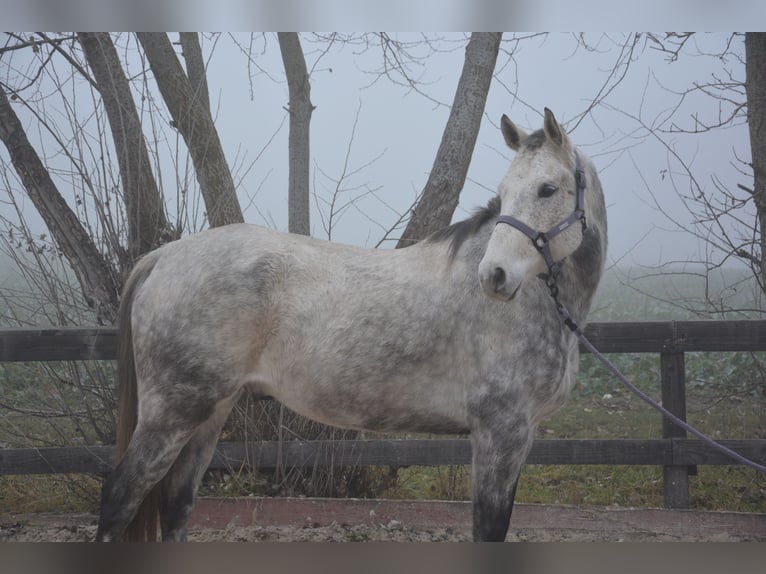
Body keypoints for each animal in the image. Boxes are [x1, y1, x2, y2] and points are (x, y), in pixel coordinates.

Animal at [95, 108, 607, 542]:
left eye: (547, 189)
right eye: (506, 190)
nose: (495, 276)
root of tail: (164, 256)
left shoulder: (519, 436)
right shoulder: (500, 433)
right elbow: (489, 529)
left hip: (210, 412)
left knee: (176, 503)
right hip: (172, 412)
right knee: (119, 498)